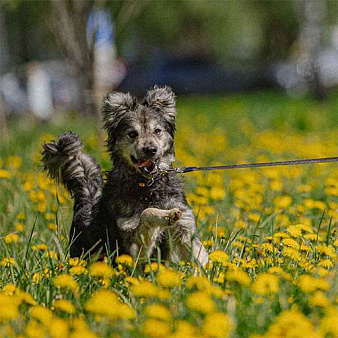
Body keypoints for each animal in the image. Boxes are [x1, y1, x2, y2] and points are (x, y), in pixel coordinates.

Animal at [42, 86, 209, 266]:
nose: (151, 149)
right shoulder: (133, 247)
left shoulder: (185, 227)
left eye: (157, 131)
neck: (148, 186)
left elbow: (200, 256)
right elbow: (146, 213)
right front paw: (165, 215)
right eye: (132, 134)